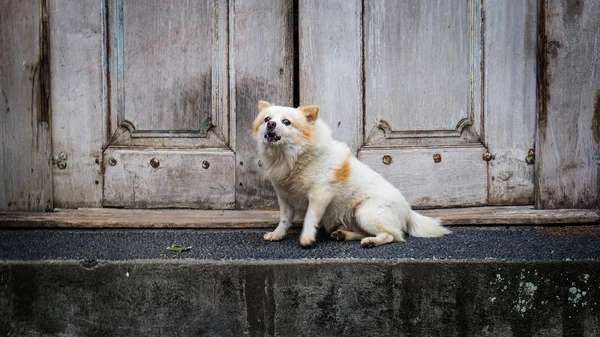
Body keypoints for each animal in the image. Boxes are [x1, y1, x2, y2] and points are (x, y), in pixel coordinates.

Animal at [253, 100, 450, 247]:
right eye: (267, 119)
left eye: (286, 122)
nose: (270, 124)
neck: (289, 157)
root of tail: (408, 210)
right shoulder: (285, 197)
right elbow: (284, 220)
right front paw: (277, 234)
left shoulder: (319, 195)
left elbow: (310, 217)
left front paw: (306, 238)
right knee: (366, 233)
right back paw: (344, 234)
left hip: (365, 212)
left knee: (391, 236)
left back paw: (371, 241)